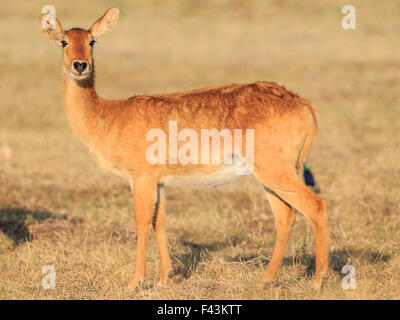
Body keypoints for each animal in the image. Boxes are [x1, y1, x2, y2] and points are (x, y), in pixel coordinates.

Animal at [39, 8, 330, 292]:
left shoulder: (141, 178)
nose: (80, 65)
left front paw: (135, 283)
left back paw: (318, 280)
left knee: (315, 205)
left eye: (92, 41)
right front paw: (165, 278)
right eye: (64, 41)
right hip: (272, 175)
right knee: (286, 217)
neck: (107, 116)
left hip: (275, 170)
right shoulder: (158, 182)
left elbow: (142, 222)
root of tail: (306, 106)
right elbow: (159, 221)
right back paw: (265, 280)